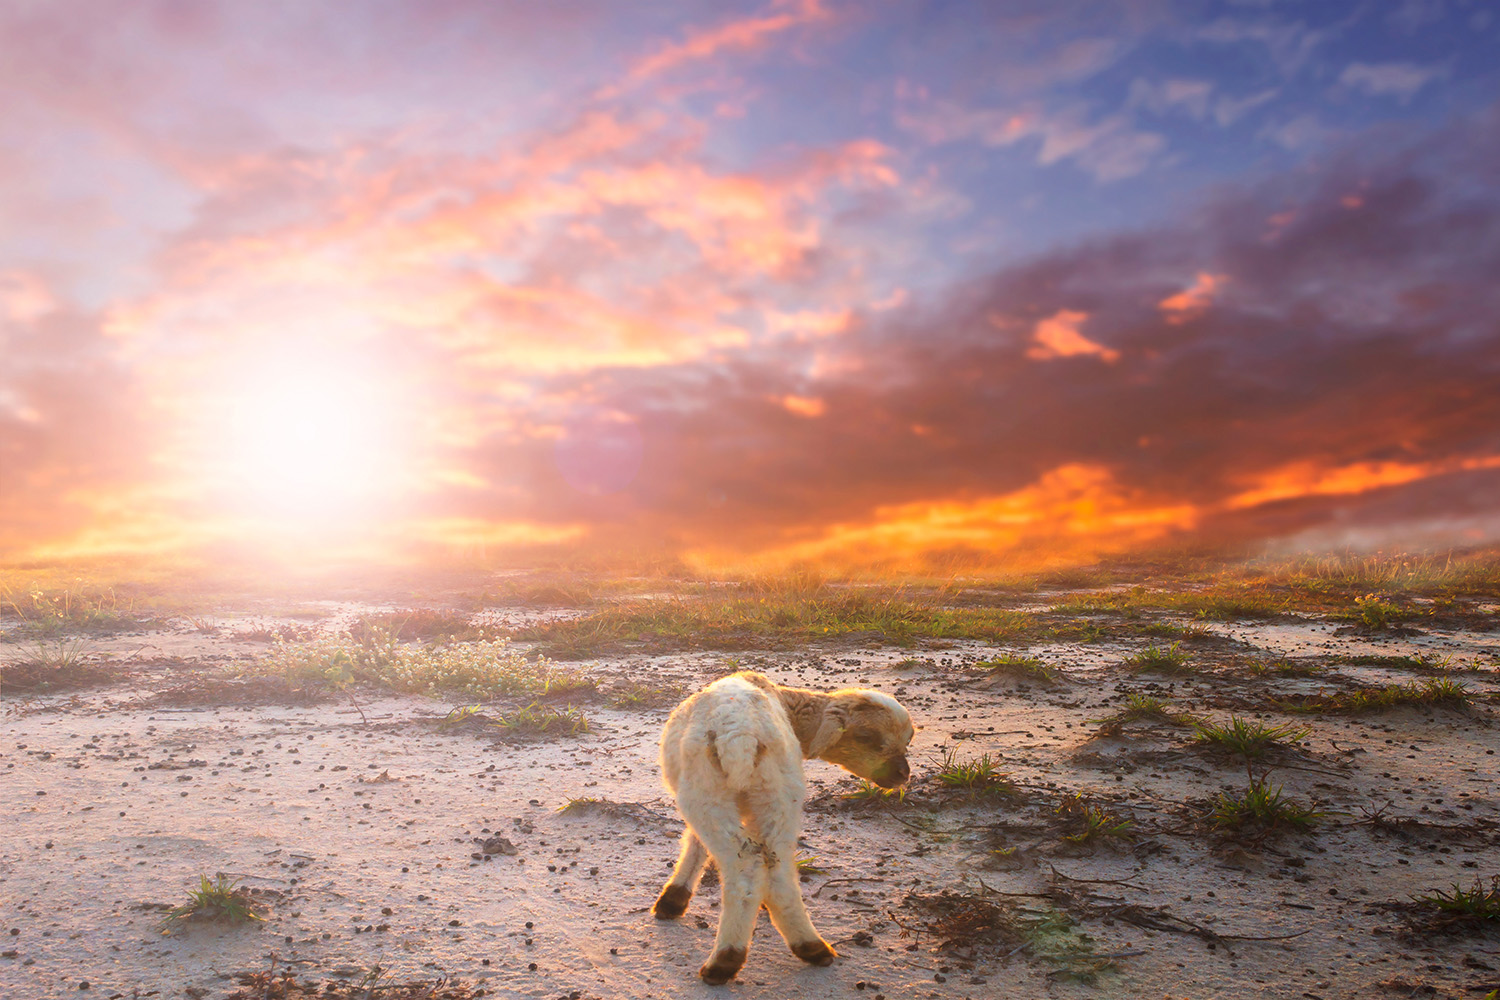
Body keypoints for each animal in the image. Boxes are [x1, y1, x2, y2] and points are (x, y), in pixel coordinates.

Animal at [657, 671, 912, 983]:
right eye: (866, 737)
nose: (903, 774)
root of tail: (740, 735)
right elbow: (696, 843)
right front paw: (674, 898)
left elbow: (695, 842)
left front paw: (673, 898)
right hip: (779, 791)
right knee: (778, 867)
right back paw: (810, 946)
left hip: (705, 792)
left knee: (745, 865)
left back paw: (724, 960)